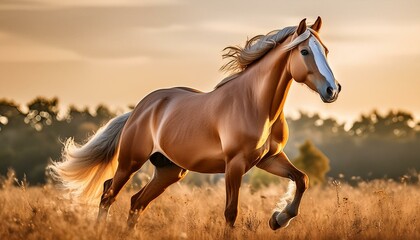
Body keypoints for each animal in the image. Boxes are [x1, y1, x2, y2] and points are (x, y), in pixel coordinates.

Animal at [50, 17, 342, 231]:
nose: (333, 90)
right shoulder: (234, 164)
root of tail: (139, 110)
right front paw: (276, 217)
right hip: (130, 161)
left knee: (136, 202)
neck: (255, 104)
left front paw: (278, 219)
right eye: (304, 51)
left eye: (326, 51)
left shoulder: (269, 159)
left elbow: (302, 179)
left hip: (169, 170)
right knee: (108, 193)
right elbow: (231, 213)